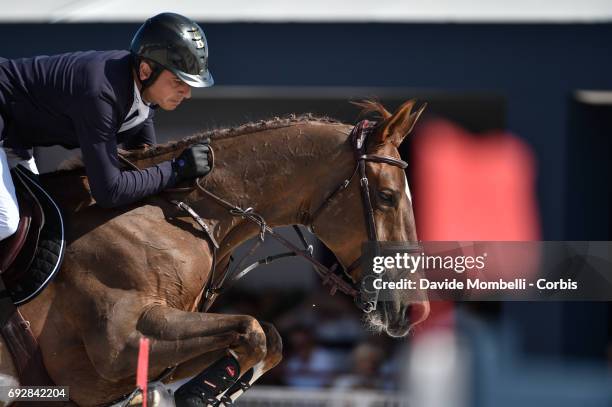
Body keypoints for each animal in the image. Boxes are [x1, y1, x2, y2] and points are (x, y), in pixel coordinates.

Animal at [0, 99, 430, 407]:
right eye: (387, 196)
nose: (417, 309)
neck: (174, 214)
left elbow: (269, 337)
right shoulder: (117, 346)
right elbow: (252, 330)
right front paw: (196, 395)